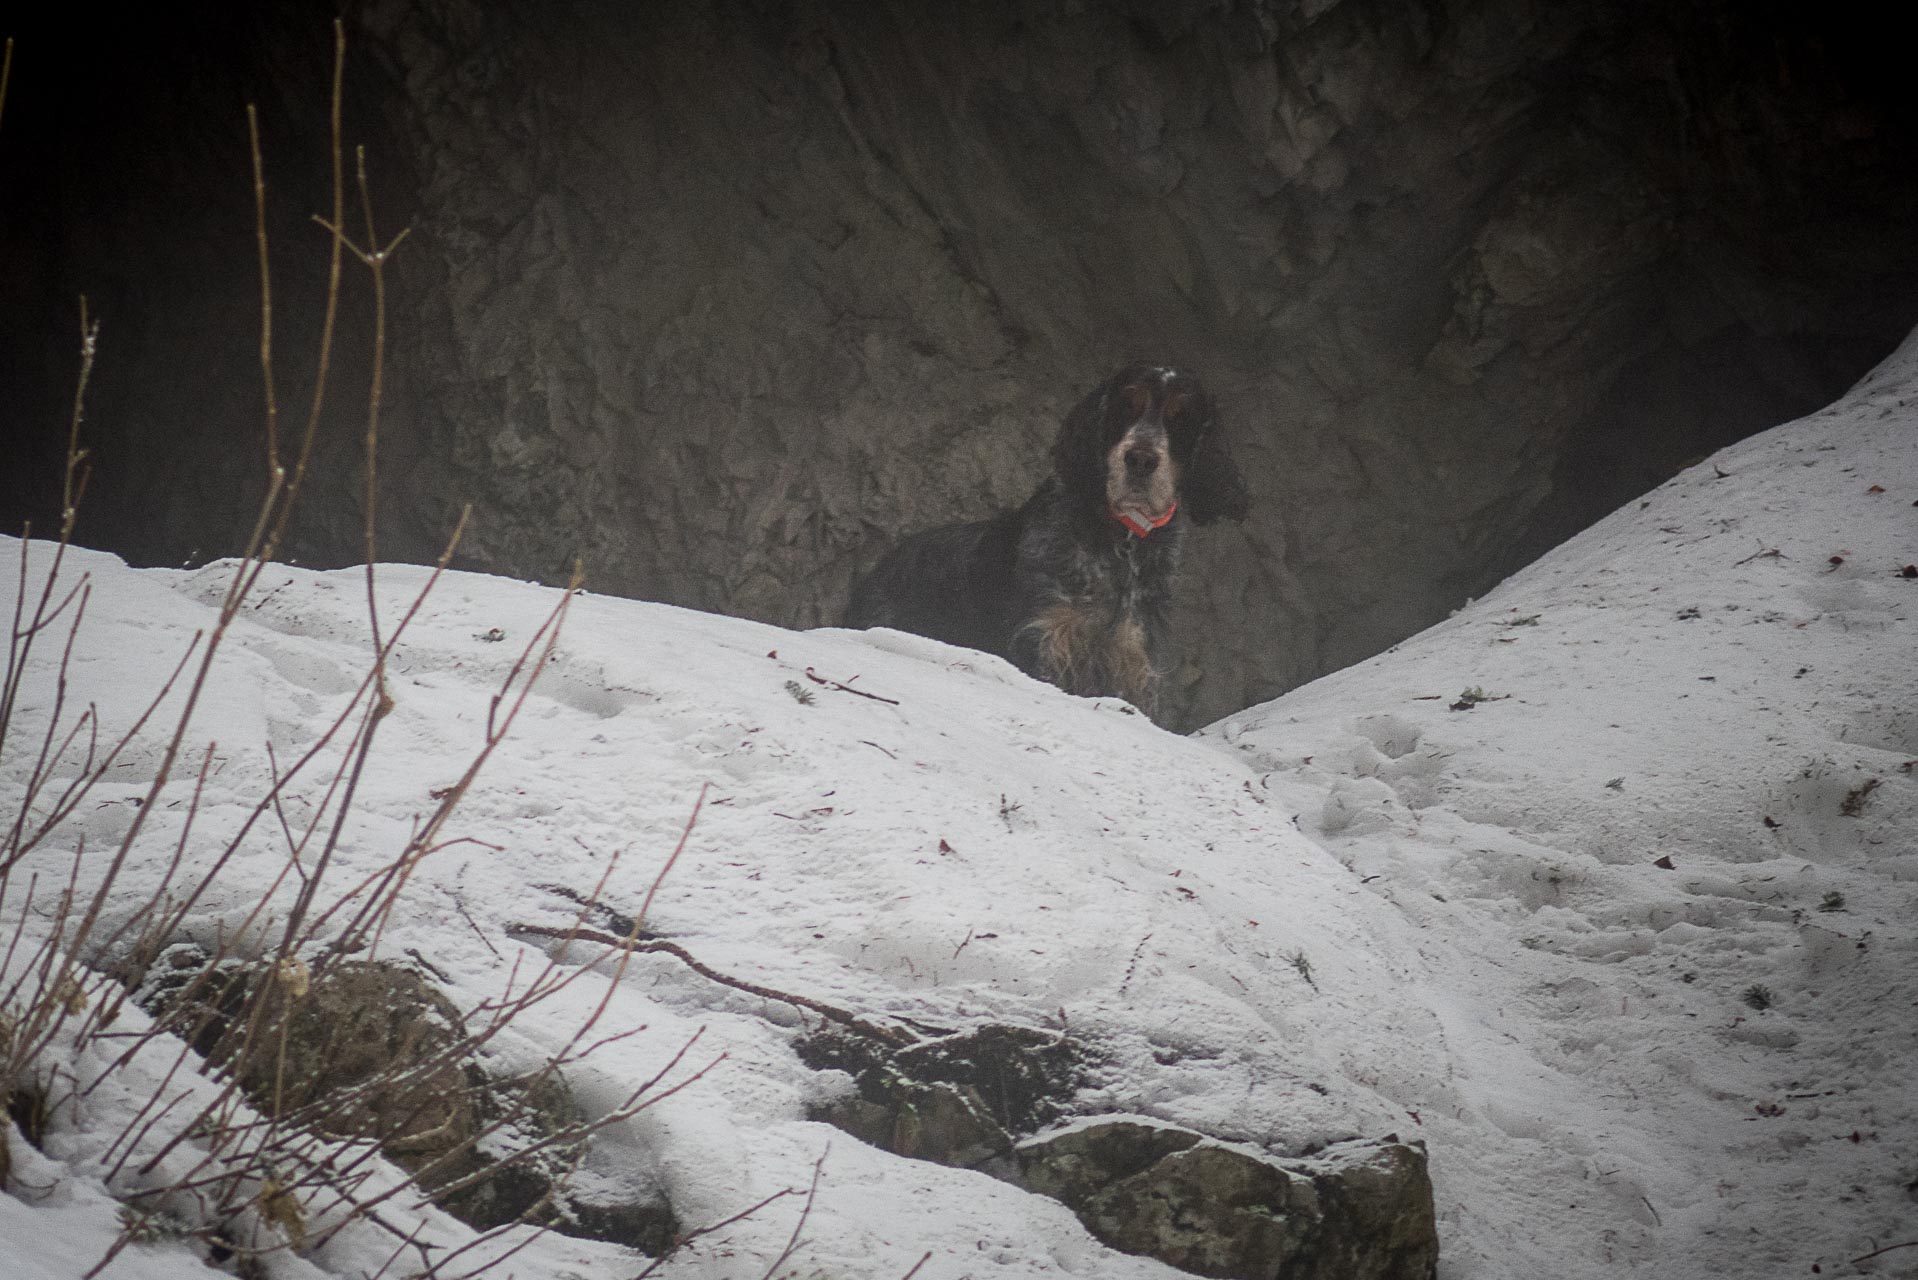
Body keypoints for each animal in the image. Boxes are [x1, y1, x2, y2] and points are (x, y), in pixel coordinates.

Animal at [847, 364, 1250, 717]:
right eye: (1126, 405)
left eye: (1181, 418)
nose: (1140, 459)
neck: (1120, 540)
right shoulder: (1046, 638)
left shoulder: (1133, 656)